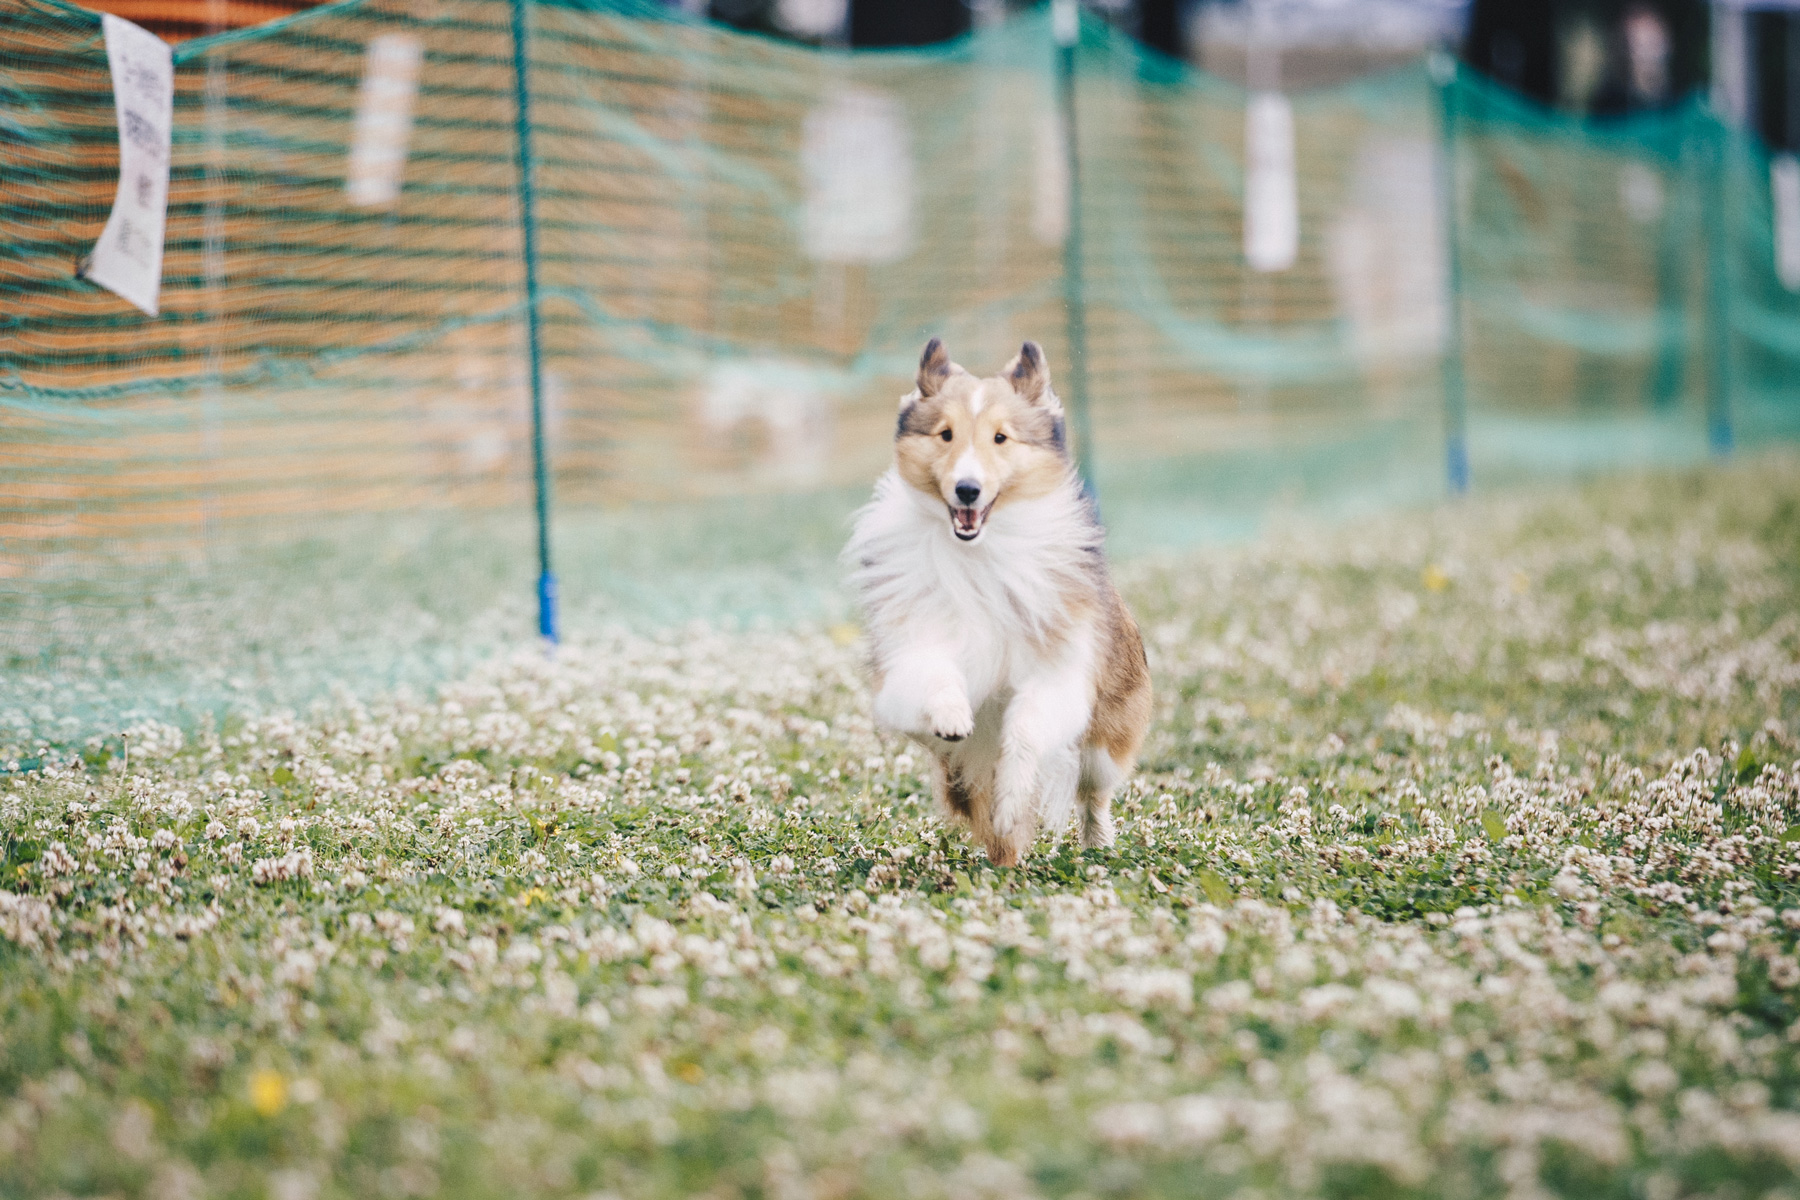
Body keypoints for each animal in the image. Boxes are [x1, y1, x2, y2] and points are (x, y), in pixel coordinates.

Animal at [846, 336, 1152, 863]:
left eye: (1001, 438)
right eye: (946, 435)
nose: (967, 490)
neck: (979, 552)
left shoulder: (1057, 673)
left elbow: (1025, 731)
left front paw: (1013, 799)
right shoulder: (908, 654)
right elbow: (936, 674)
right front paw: (952, 714)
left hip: (1103, 745)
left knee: (1092, 794)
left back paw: (1095, 844)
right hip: (961, 771)